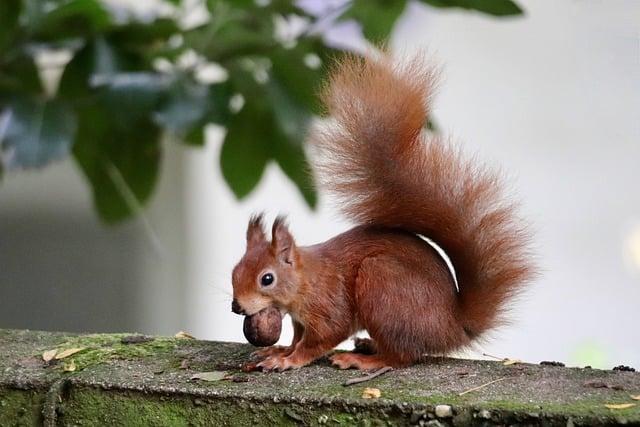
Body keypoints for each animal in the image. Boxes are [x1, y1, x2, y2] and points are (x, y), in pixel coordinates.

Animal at [230, 53, 536, 372]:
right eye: (234, 271)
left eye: (267, 279)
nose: (237, 306)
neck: (306, 280)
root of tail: (452, 327)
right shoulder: (300, 319)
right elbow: (297, 336)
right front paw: (280, 350)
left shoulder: (329, 306)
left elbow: (320, 338)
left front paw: (289, 360)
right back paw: (367, 345)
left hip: (382, 284)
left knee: (401, 356)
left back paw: (361, 359)